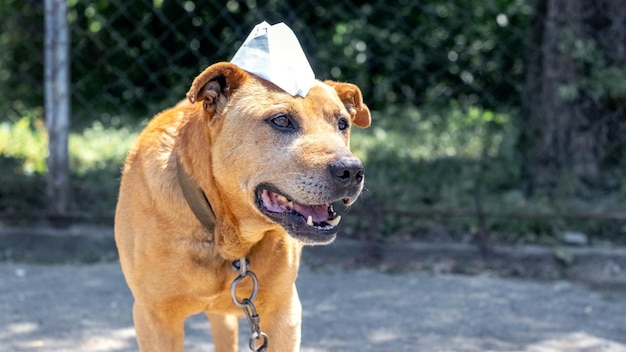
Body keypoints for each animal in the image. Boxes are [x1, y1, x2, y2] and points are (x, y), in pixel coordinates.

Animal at [113, 62, 370, 350]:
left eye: (342, 124)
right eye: (281, 120)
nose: (352, 170)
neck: (224, 234)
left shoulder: (284, 314)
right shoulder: (154, 318)